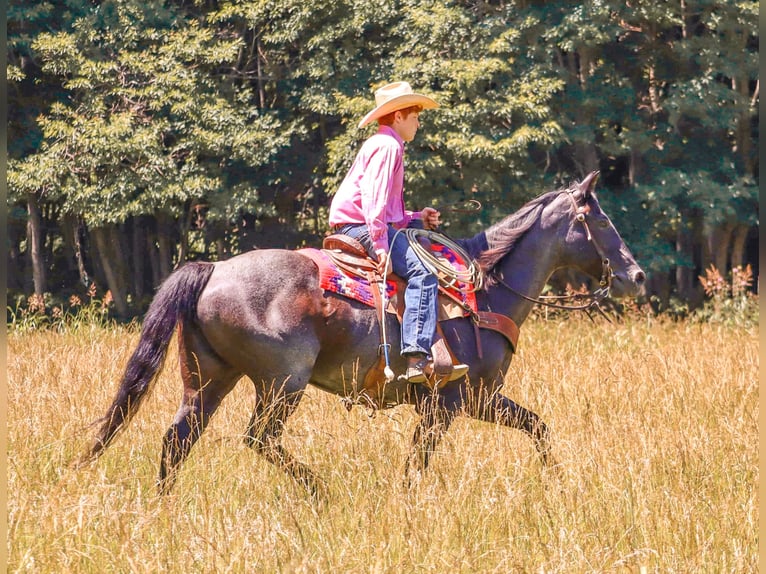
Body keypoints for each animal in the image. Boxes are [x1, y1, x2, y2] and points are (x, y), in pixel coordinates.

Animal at [78, 171, 644, 496]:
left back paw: (163, 505)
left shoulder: (477, 400)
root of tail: (212, 269)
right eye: (600, 221)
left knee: (178, 439)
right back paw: (319, 490)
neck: (484, 293)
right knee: (257, 438)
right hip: (282, 383)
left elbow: (536, 427)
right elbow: (421, 462)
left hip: (209, 379)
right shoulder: (453, 402)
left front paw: (556, 484)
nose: (635, 275)